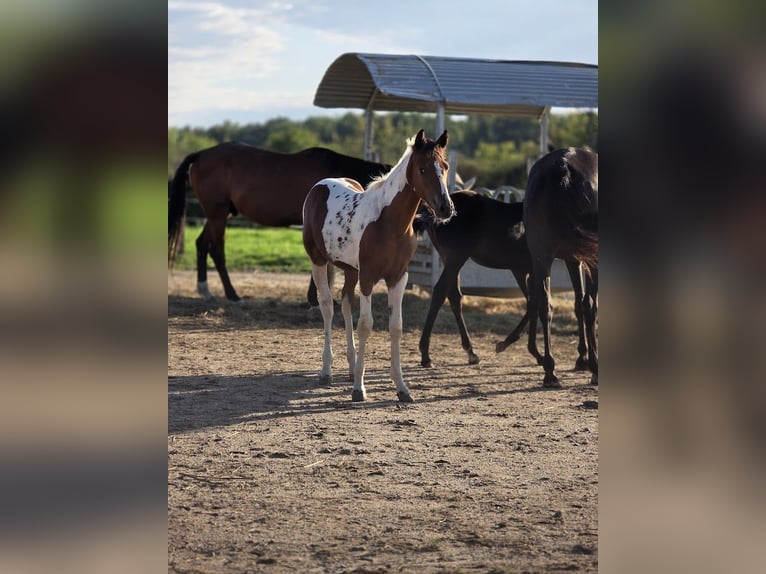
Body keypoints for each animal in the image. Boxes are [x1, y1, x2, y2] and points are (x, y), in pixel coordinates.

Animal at [168, 143, 391, 304]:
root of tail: (200, 155)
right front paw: (315, 299)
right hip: (217, 213)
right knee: (217, 250)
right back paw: (233, 295)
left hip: (221, 213)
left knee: (202, 244)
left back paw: (205, 290)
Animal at [302, 129, 455, 402]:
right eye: (423, 169)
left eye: (445, 167)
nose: (445, 208)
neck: (389, 223)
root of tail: (319, 187)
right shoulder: (369, 277)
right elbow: (366, 325)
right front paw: (358, 389)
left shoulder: (398, 278)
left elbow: (396, 327)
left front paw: (402, 388)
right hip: (319, 261)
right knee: (328, 306)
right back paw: (327, 371)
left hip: (350, 270)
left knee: (346, 304)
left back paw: (351, 367)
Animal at [414, 190, 589, 370]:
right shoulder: (532, 269)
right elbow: (537, 303)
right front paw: (520, 348)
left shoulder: (523, 270)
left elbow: (533, 303)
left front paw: (534, 352)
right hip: (456, 257)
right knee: (440, 292)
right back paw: (426, 355)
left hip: (449, 259)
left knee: (454, 296)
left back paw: (471, 352)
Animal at [524, 147, 598, 387]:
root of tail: (563, 166)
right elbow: (586, 304)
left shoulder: (572, 259)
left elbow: (577, 303)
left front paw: (582, 357)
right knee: (591, 305)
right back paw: (595, 368)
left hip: (541, 257)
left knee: (545, 306)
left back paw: (550, 370)